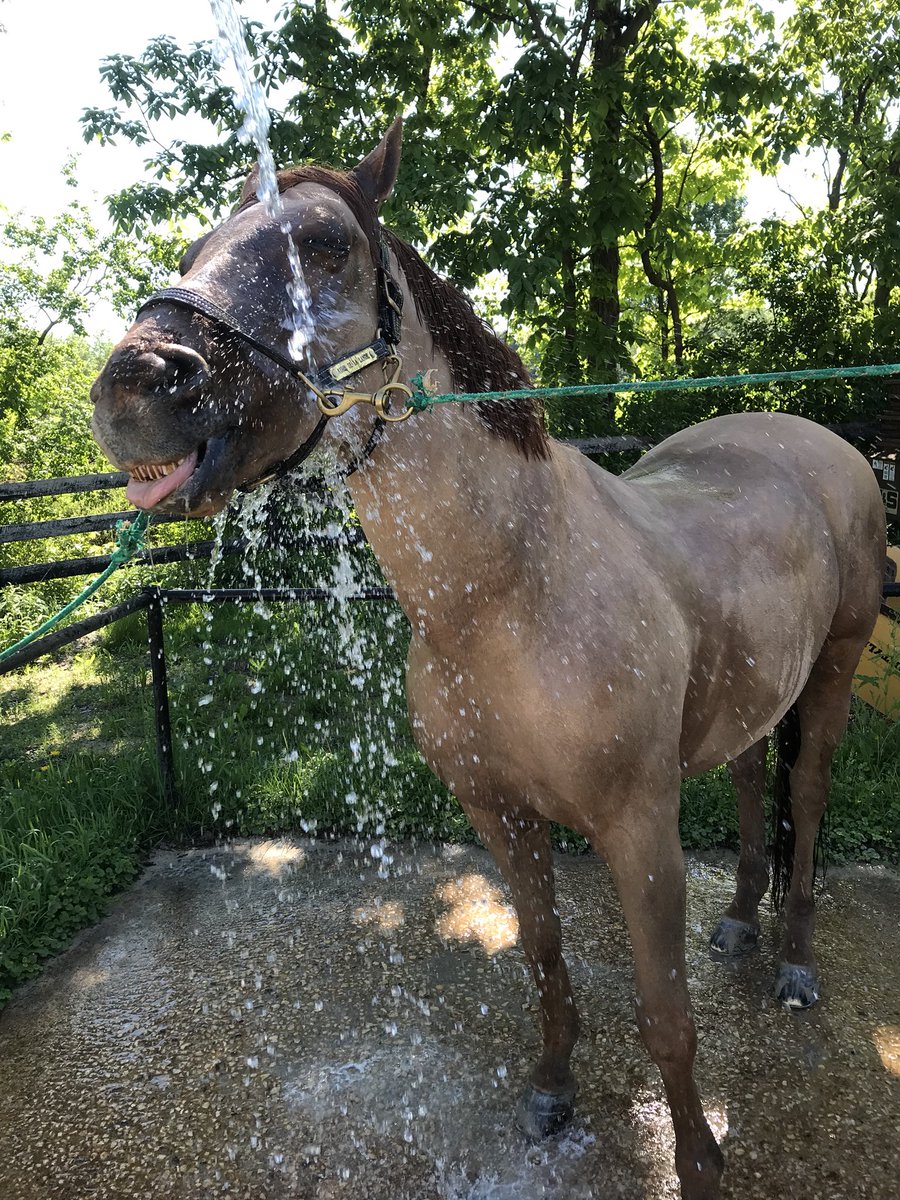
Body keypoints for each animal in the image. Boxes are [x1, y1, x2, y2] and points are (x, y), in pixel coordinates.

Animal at [90, 119, 885, 1200]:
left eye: (324, 244)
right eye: (192, 250)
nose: (134, 389)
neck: (507, 593)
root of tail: (814, 438)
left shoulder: (640, 829)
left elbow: (665, 1016)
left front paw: (698, 1160)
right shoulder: (499, 815)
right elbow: (544, 957)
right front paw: (552, 1092)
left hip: (836, 670)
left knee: (806, 795)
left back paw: (795, 963)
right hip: (754, 695)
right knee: (754, 775)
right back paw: (743, 924)